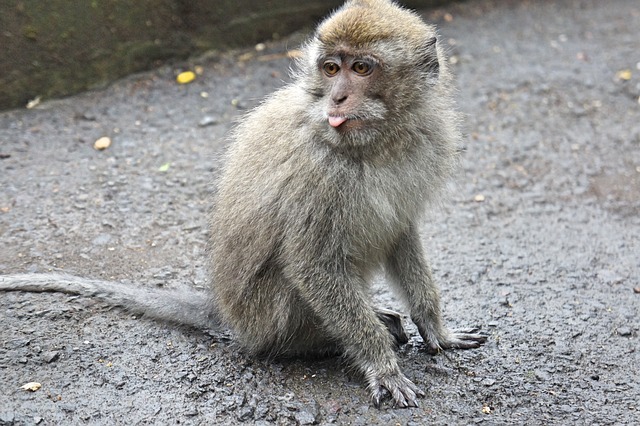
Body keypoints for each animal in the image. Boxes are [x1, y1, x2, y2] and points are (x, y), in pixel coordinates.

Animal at [1, 0, 484, 410]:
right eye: (331, 68)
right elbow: (312, 264)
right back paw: (334, 340)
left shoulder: (422, 142)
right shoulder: (316, 173)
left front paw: (436, 328)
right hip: (270, 318)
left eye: (361, 68)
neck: (376, 144)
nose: (337, 97)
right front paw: (380, 364)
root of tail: (230, 315)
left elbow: (401, 233)